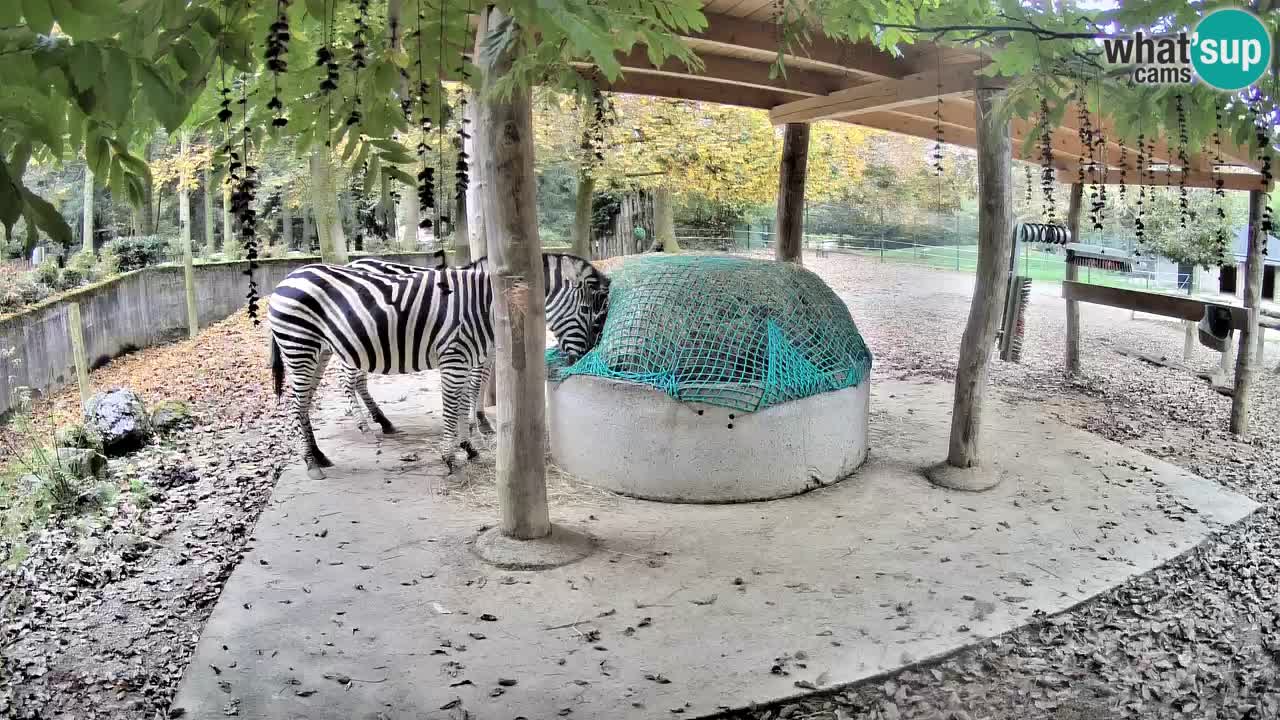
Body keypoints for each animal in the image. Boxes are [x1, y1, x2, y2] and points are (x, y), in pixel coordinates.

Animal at [267, 252, 611, 476]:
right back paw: (319, 457)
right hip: (302, 346)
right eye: (587, 311)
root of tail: (287, 278)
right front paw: (454, 453)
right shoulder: (457, 357)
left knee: (310, 400)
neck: (485, 306)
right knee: (306, 400)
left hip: (322, 349)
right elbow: (456, 403)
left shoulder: (473, 356)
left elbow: (462, 401)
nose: (582, 359)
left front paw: (469, 445)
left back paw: (327, 450)